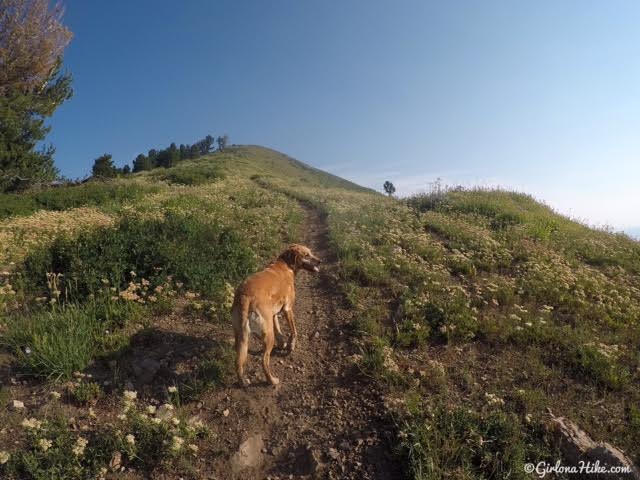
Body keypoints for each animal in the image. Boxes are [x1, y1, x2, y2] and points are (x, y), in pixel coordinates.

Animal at [230, 244, 320, 386]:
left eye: (311, 252)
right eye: (306, 255)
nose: (319, 261)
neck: (286, 264)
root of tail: (245, 297)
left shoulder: (274, 313)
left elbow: (278, 329)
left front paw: (283, 343)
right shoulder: (288, 309)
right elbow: (294, 331)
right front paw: (291, 345)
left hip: (241, 337)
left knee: (238, 362)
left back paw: (243, 382)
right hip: (267, 336)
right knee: (264, 361)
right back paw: (272, 380)